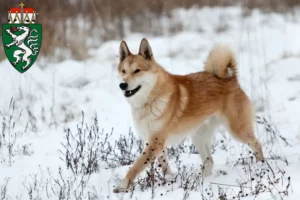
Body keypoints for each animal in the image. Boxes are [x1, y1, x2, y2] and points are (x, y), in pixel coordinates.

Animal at [113, 38, 264, 193]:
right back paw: (200, 181)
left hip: (237, 131)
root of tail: (231, 79)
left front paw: (122, 186)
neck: (151, 98)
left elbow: (136, 166)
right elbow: (164, 165)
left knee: (257, 144)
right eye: (123, 71)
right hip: (198, 136)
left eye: (137, 70)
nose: (122, 85)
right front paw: (170, 180)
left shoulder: (156, 141)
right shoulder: (156, 142)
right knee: (209, 162)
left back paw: (261, 166)